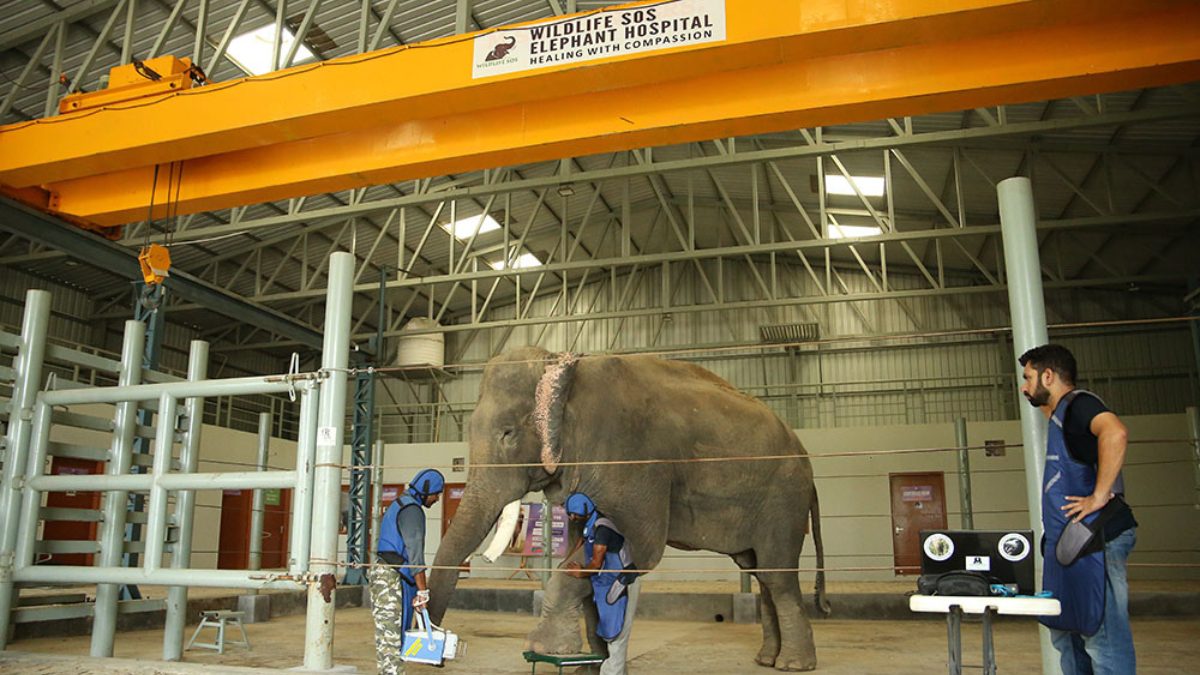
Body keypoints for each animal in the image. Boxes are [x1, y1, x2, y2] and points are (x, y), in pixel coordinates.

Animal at [432, 343, 835, 667]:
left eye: (508, 433)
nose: (439, 654)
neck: (567, 367)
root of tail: (806, 457)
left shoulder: (634, 458)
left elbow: (639, 549)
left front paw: (546, 648)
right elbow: (585, 551)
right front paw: (589, 663)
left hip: (783, 499)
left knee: (777, 576)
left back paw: (793, 665)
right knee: (760, 571)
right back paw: (766, 660)